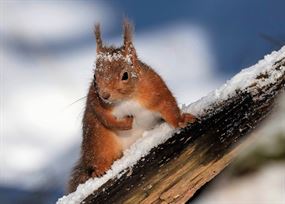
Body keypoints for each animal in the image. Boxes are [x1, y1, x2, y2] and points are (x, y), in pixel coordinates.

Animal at [67, 20, 194, 193]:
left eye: (125, 75)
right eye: (94, 77)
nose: (105, 95)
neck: (126, 100)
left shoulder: (156, 89)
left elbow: (169, 107)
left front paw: (182, 120)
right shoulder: (95, 102)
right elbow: (105, 118)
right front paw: (126, 123)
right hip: (98, 141)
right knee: (98, 160)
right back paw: (99, 169)